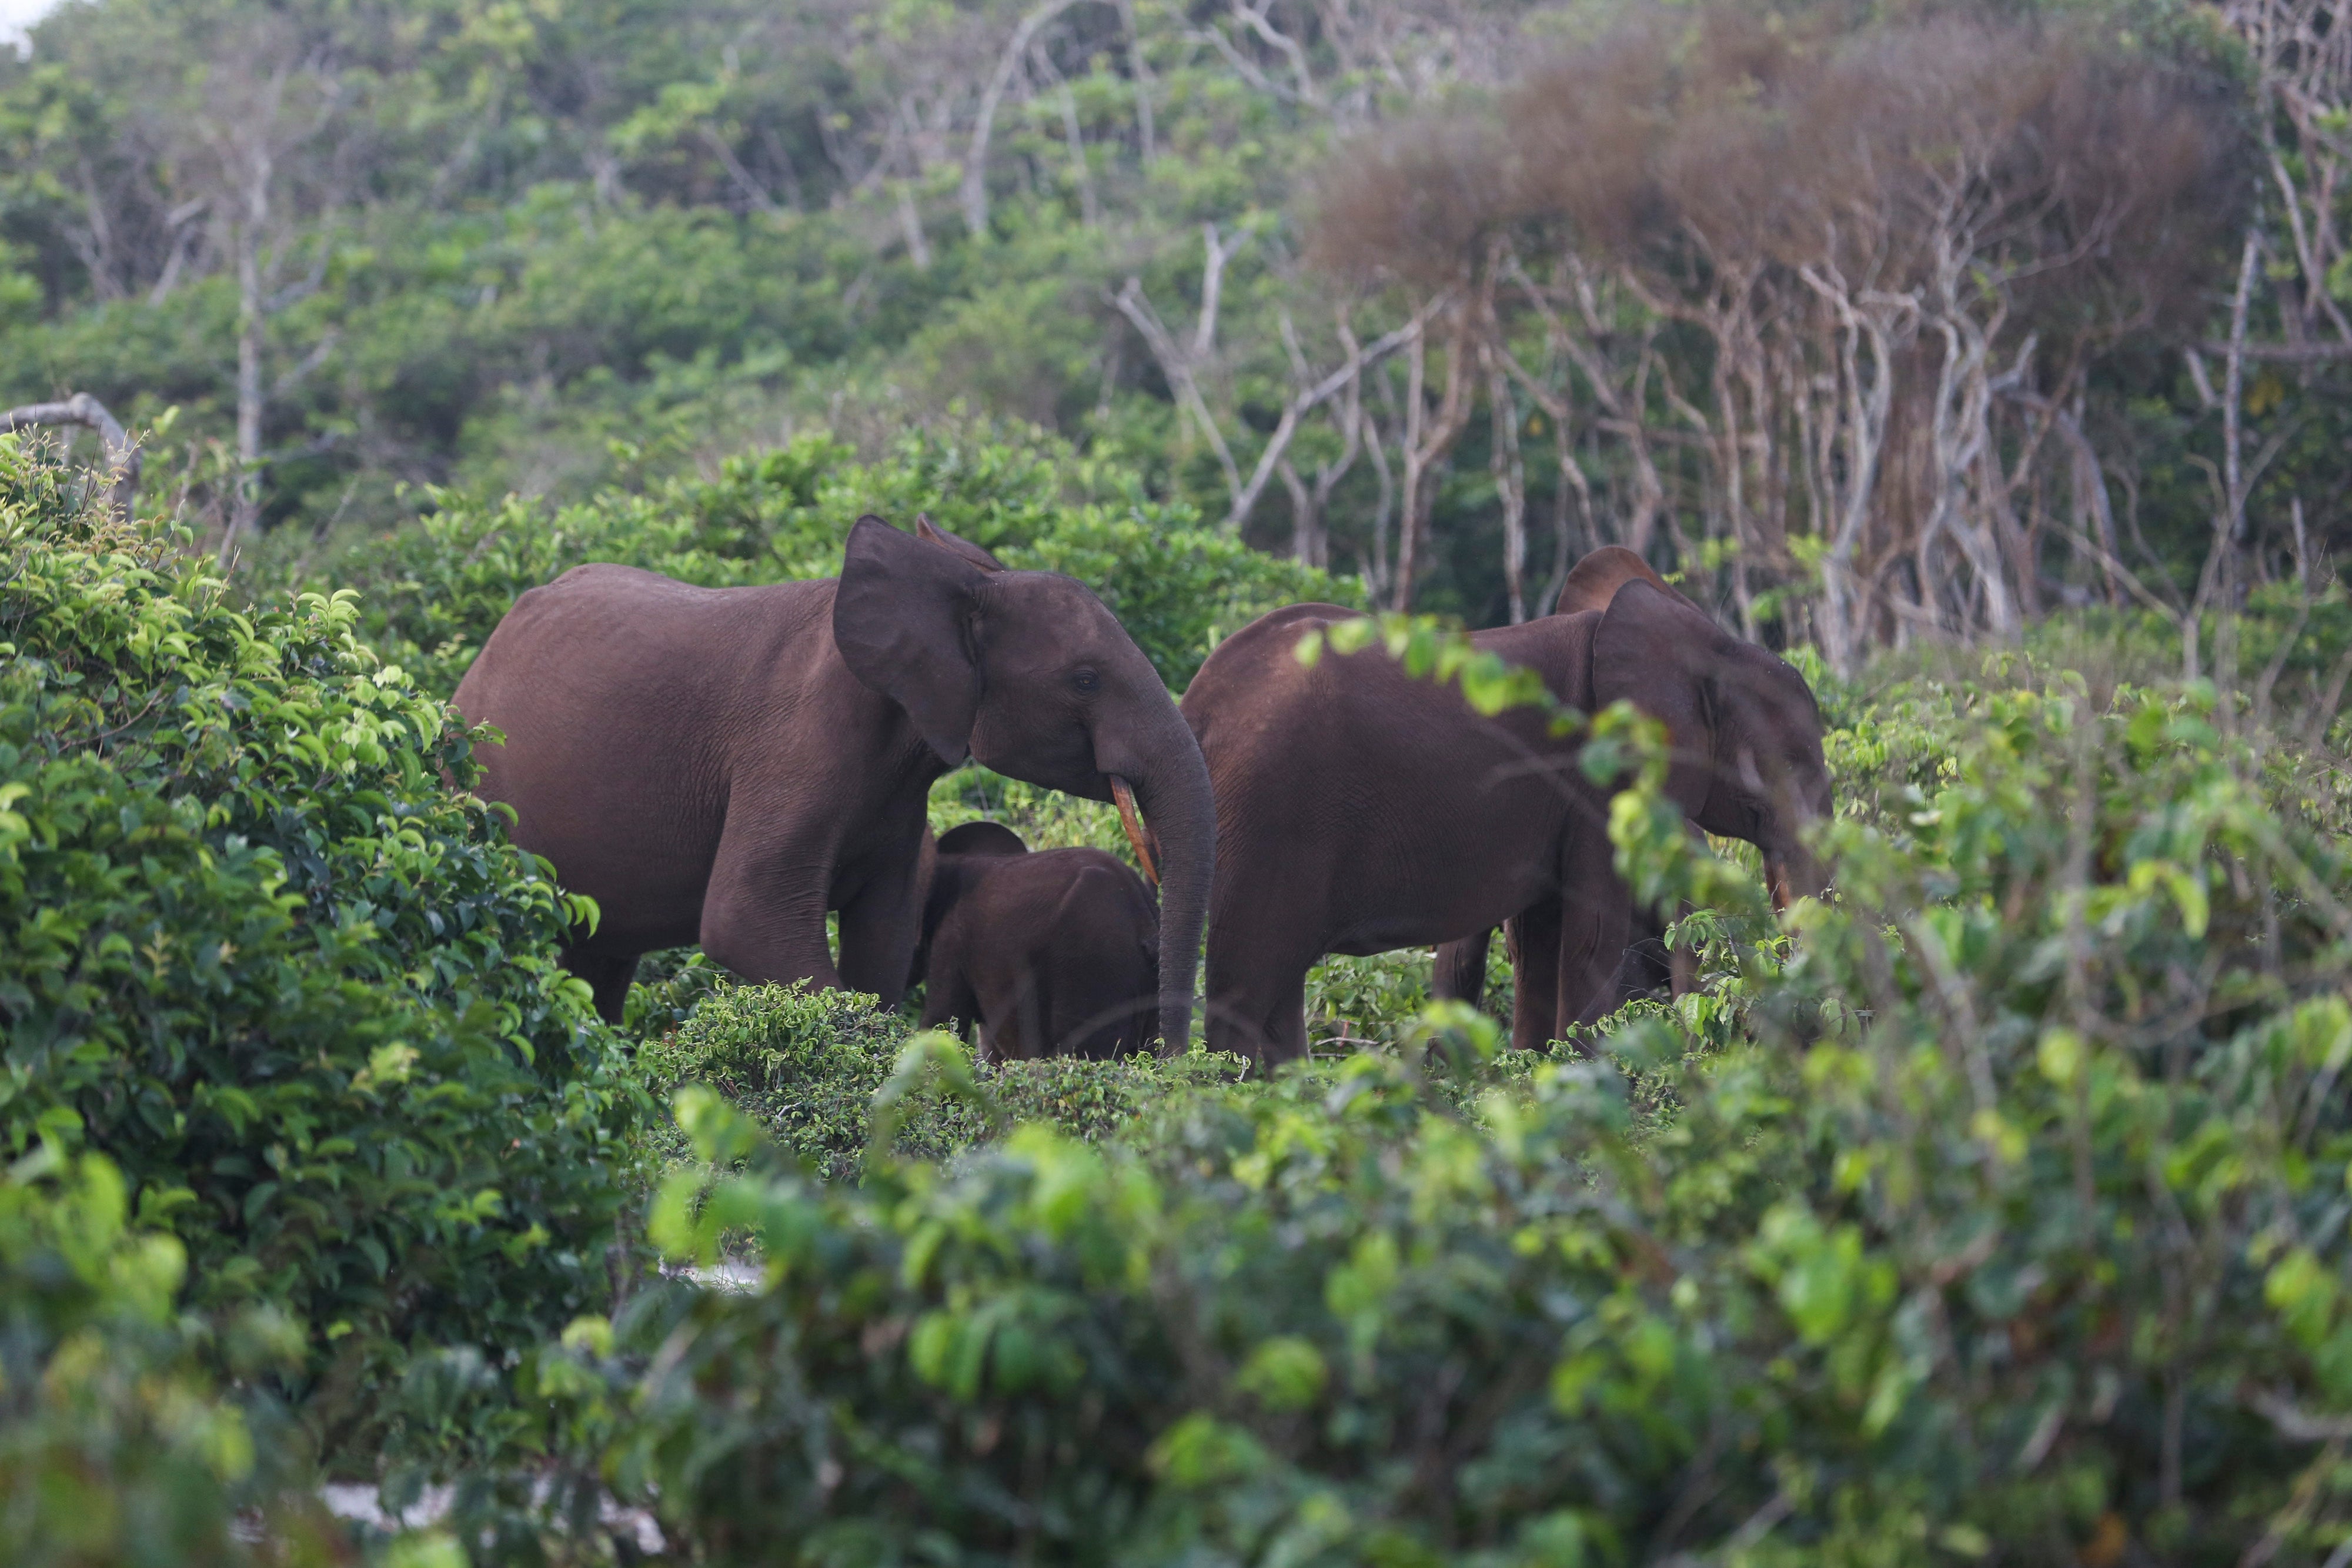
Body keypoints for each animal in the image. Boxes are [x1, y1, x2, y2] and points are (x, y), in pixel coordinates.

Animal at [1181, 552, 1829, 1061]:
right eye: (1785, 769)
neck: (1705, 643)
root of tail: (1197, 702)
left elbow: (1542, 937)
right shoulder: (1598, 779)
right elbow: (1590, 934)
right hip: (1265, 812)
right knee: (1245, 990)